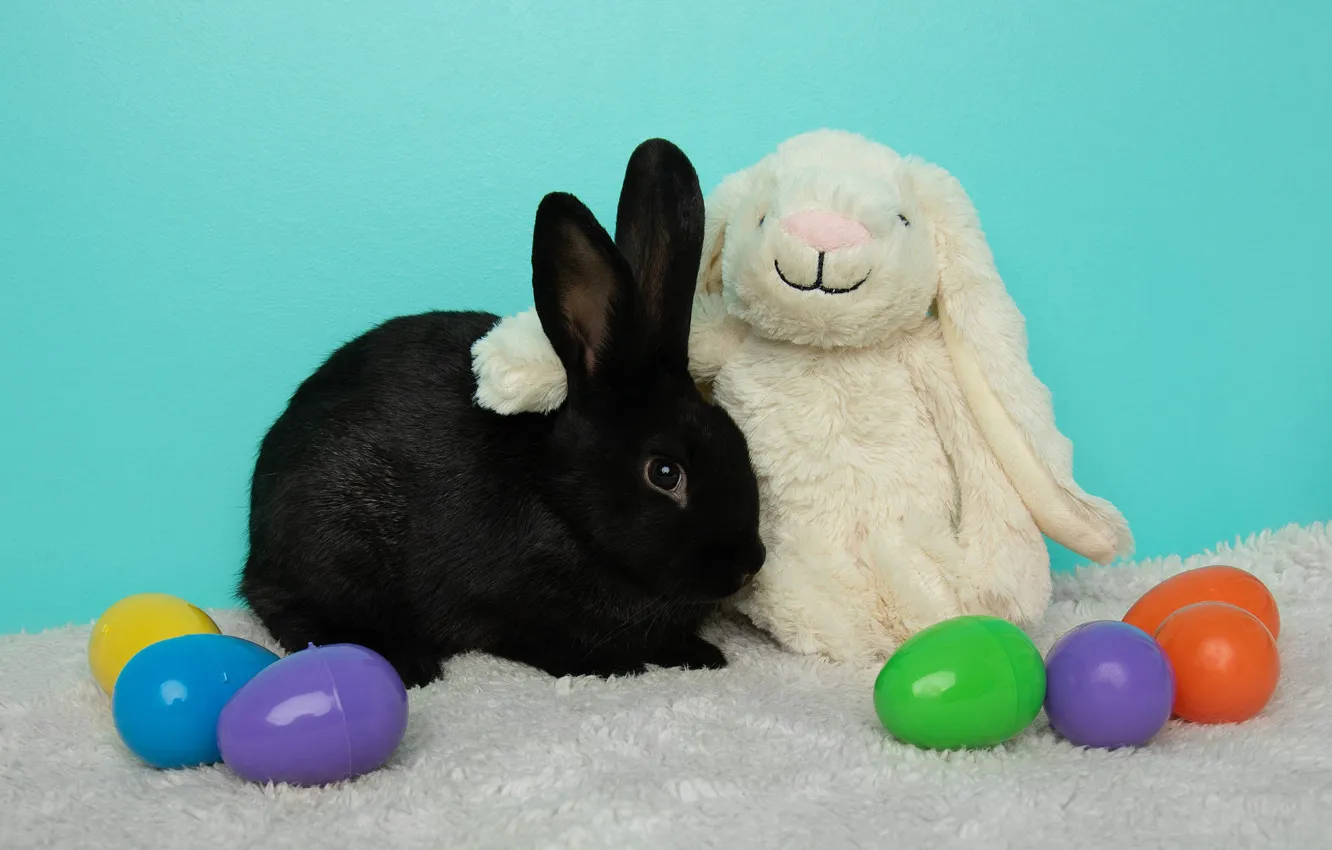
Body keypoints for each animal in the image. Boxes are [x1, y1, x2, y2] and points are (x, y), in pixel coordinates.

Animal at [238, 139, 768, 689]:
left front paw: (700, 653)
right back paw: (410, 664)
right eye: (665, 473)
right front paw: (615, 666)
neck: (562, 503)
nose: (749, 565)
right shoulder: (499, 610)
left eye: (737, 437)